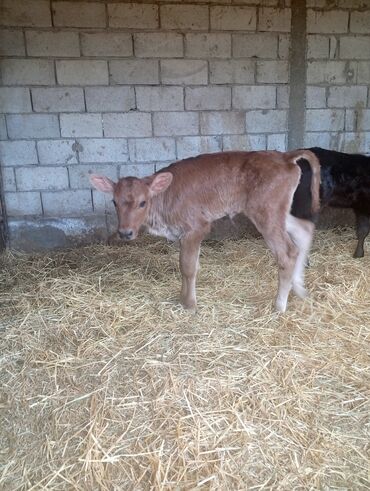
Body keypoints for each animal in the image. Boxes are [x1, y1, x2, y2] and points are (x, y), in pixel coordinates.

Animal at [91, 150, 320, 314]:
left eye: (142, 202)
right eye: (114, 201)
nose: (125, 233)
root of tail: (284, 156)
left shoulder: (196, 227)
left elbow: (188, 267)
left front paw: (190, 305)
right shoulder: (183, 235)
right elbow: (185, 265)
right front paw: (182, 298)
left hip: (267, 213)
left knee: (287, 254)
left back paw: (279, 306)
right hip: (273, 212)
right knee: (304, 229)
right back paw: (299, 289)